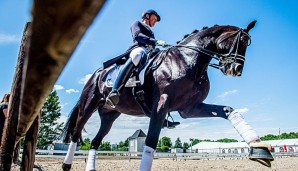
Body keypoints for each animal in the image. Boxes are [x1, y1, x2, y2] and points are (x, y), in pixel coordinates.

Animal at [61, 20, 274, 170]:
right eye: (241, 41)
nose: (236, 70)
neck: (188, 60)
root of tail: (97, 74)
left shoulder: (189, 108)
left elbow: (228, 110)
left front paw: (259, 149)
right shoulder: (161, 104)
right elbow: (150, 142)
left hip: (109, 115)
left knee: (95, 142)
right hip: (88, 106)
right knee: (76, 134)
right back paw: (66, 165)